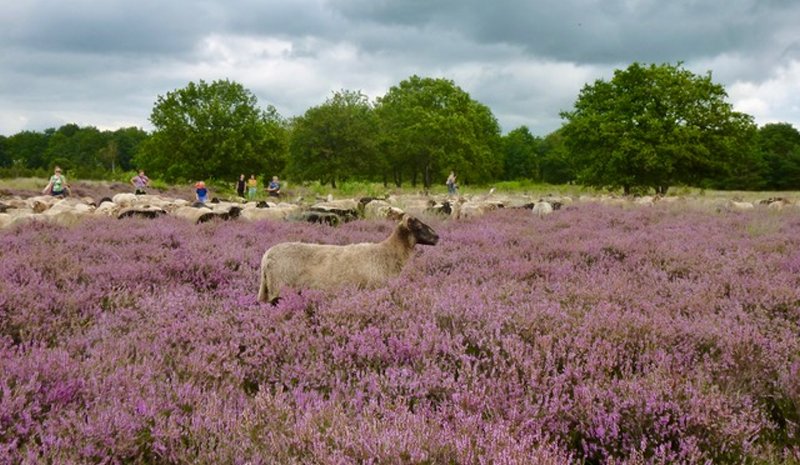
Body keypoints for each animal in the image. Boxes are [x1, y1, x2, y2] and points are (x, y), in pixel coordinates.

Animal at [260, 214, 438, 304]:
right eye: (419, 226)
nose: (437, 237)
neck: (387, 252)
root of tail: (266, 257)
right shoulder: (374, 287)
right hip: (279, 287)